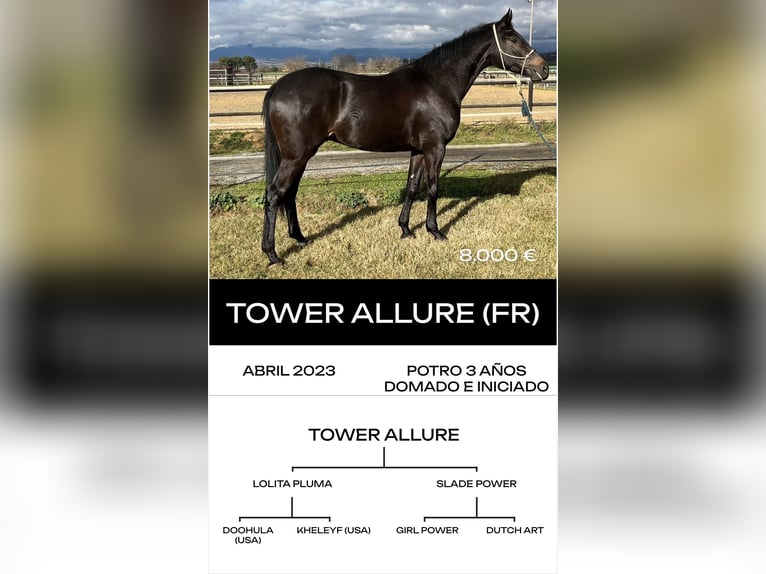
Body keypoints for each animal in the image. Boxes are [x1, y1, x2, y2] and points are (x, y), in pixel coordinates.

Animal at [260, 9, 549, 266]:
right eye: (512, 37)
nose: (544, 69)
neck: (437, 84)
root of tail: (277, 86)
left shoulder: (418, 150)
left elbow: (412, 187)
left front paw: (406, 230)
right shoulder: (435, 148)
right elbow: (432, 188)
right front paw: (435, 231)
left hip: (299, 156)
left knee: (289, 193)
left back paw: (300, 238)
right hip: (297, 156)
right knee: (275, 193)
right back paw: (273, 255)